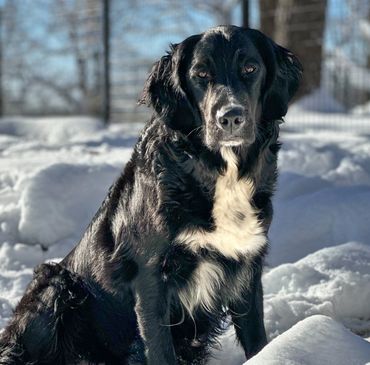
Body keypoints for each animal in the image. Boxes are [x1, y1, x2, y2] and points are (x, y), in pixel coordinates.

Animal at [0, 26, 300, 364]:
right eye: (201, 73)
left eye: (250, 68)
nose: (231, 117)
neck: (220, 173)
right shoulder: (151, 277)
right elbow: (159, 347)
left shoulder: (247, 265)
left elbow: (256, 338)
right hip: (58, 286)